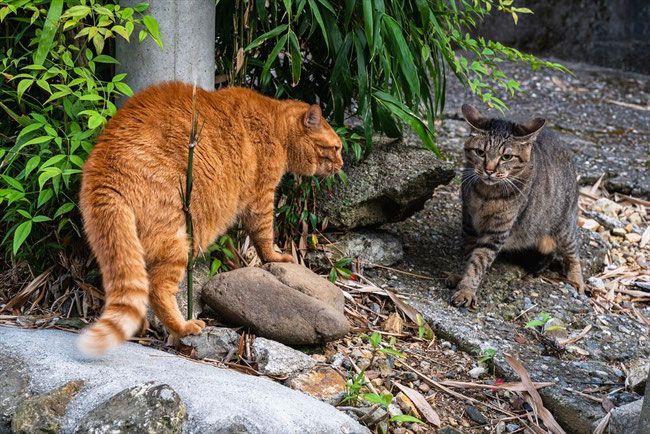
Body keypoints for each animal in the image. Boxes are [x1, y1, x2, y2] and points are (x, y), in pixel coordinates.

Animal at [78, 82, 342, 356]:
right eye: (336, 148)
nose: (342, 164)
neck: (276, 123)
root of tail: (105, 169)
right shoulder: (262, 200)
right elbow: (265, 237)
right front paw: (276, 257)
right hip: (181, 239)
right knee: (158, 290)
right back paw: (183, 327)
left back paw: (141, 329)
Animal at [446, 104, 584, 308]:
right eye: (480, 152)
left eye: (506, 157)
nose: (489, 170)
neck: (487, 194)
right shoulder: (468, 222)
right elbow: (469, 255)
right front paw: (460, 276)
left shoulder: (497, 231)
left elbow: (479, 261)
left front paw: (466, 290)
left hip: (564, 226)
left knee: (573, 253)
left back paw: (577, 281)